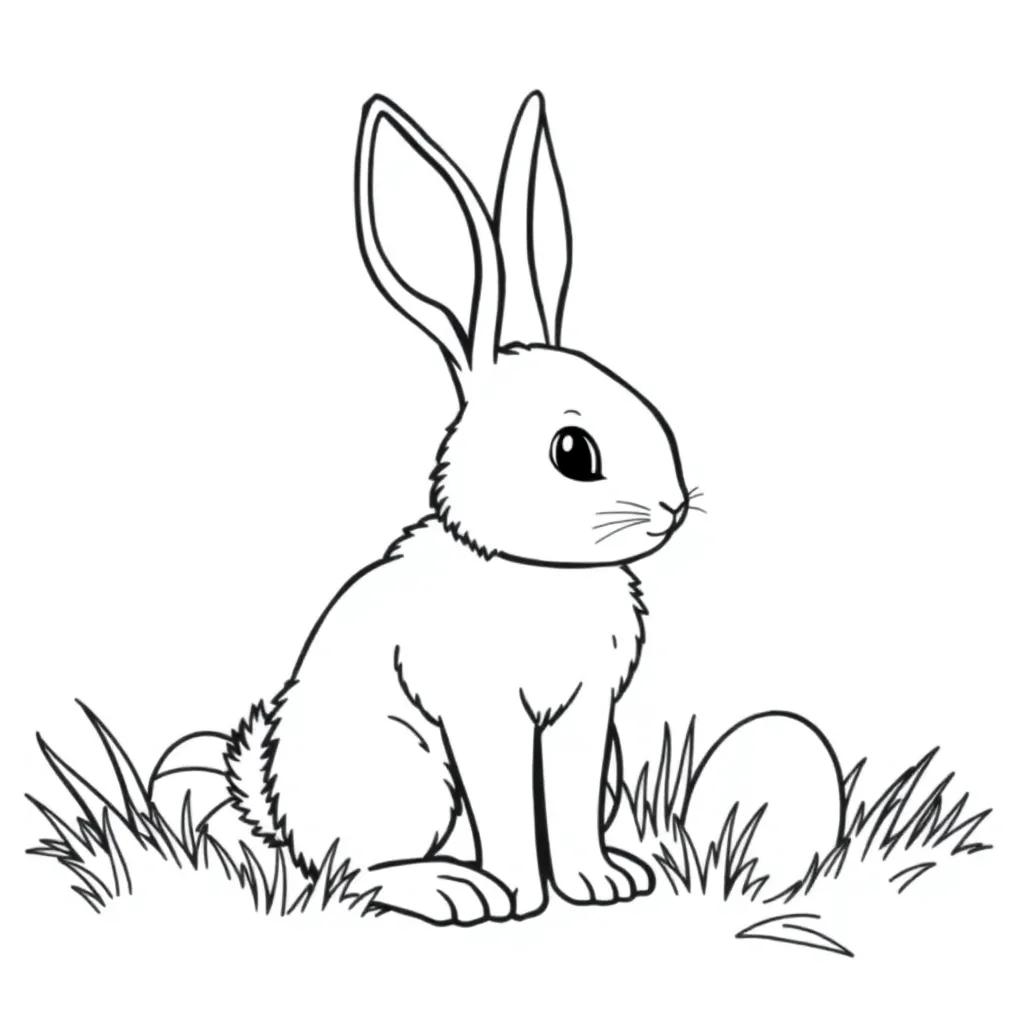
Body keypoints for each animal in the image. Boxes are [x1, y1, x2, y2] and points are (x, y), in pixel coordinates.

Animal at [221, 91, 693, 924]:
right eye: (573, 452)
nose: (672, 508)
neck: (536, 571)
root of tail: (281, 812)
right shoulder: (483, 712)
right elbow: (506, 802)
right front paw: (520, 896)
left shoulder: (584, 718)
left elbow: (566, 805)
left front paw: (597, 885)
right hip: (405, 770)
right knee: (356, 871)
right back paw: (454, 890)